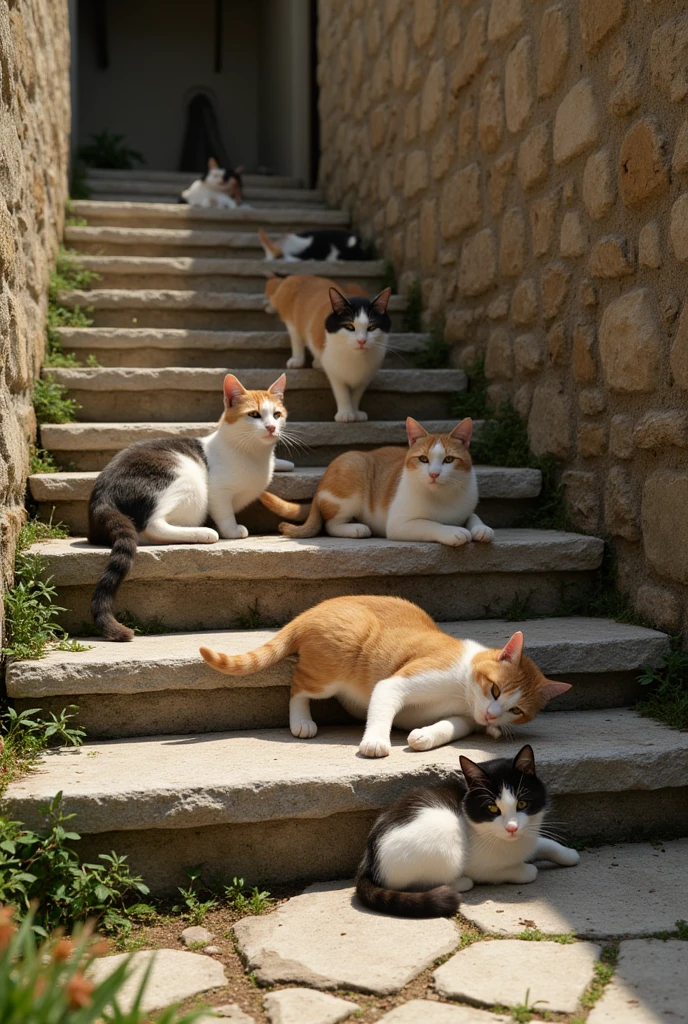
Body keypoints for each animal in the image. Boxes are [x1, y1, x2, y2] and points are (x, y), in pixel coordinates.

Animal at [88, 372, 292, 643]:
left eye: (277, 414)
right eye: (254, 415)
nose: (271, 428)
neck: (255, 456)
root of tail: (102, 496)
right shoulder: (217, 491)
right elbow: (225, 513)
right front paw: (232, 530)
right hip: (187, 476)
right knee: (152, 526)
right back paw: (203, 533)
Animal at [198, 598, 569, 757]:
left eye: (516, 710)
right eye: (494, 690)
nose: (492, 715)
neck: (462, 689)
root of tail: (309, 611)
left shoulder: (466, 718)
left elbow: (450, 726)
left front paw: (424, 736)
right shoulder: (397, 682)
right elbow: (383, 709)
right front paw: (376, 742)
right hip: (336, 664)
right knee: (298, 684)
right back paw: (302, 721)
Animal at [264, 274, 393, 421]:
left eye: (372, 327)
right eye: (349, 326)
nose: (361, 341)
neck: (356, 358)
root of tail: (301, 276)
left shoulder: (366, 376)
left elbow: (356, 394)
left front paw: (356, 412)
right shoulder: (334, 370)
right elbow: (342, 391)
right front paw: (346, 413)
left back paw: (316, 362)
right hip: (290, 316)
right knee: (295, 335)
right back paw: (298, 359)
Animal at [264, 413, 495, 548]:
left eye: (448, 460)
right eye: (423, 459)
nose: (434, 474)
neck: (443, 495)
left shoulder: (465, 506)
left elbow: (472, 516)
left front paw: (481, 528)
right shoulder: (399, 524)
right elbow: (431, 524)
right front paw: (454, 531)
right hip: (355, 467)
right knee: (330, 524)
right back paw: (356, 528)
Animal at [358, 745, 577, 921]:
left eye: (522, 804)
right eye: (492, 809)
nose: (512, 827)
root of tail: (369, 861)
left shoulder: (528, 834)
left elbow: (543, 842)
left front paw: (568, 854)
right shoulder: (481, 868)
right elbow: (507, 871)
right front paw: (526, 869)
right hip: (444, 836)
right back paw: (460, 883)